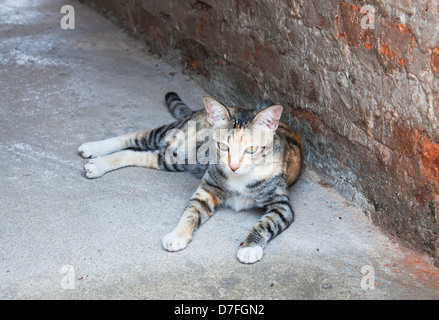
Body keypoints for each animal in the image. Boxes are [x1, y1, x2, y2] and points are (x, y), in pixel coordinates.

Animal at [79, 92, 304, 262]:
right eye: (223, 146)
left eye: (251, 149)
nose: (233, 166)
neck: (240, 179)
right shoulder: (207, 190)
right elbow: (190, 213)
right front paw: (177, 235)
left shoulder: (281, 204)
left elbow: (265, 224)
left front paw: (249, 248)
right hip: (170, 135)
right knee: (135, 136)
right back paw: (93, 148)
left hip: (174, 160)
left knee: (140, 154)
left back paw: (98, 164)